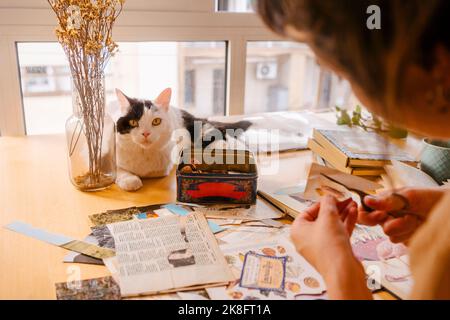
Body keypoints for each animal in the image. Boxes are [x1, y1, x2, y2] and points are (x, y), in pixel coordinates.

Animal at [112, 87, 251, 191]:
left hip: (195, 126)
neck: (144, 152)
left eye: (156, 121)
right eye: (133, 122)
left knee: (218, 132)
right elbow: (118, 169)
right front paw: (129, 179)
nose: (145, 133)